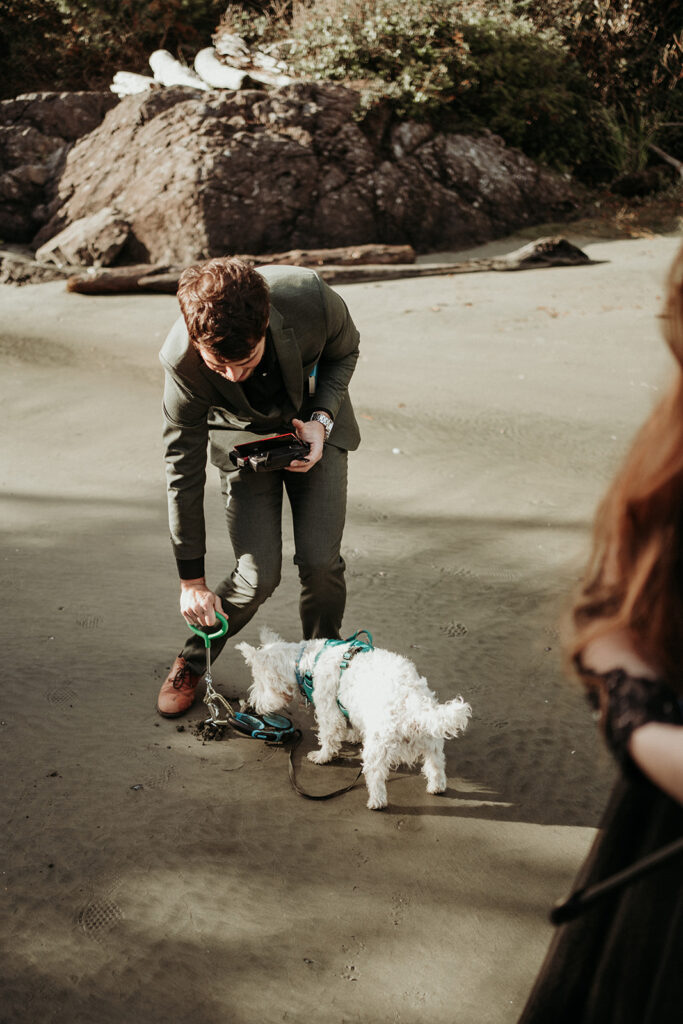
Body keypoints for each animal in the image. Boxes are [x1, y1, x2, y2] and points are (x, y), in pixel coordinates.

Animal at [237, 626, 473, 811]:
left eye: (258, 682)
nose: (253, 705)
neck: (305, 662)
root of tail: (413, 704)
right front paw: (353, 736)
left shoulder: (328, 710)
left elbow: (329, 736)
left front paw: (321, 756)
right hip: (432, 742)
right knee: (436, 766)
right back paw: (436, 788)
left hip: (378, 746)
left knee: (376, 774)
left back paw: (376, 802)